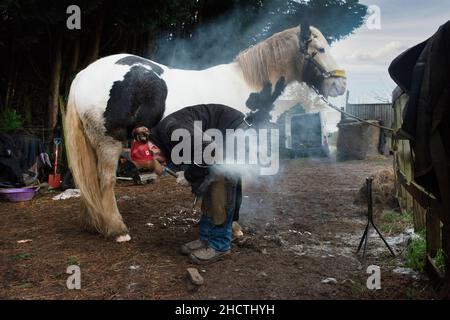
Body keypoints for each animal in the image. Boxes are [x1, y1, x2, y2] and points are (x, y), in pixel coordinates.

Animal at [65, 23, 346, 241]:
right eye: (321, 49)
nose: (340, 85)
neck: (245, 86)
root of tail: (84, 74)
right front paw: (234, 227)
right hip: (109, 142)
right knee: (105, 182)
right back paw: (117, 230)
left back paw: (96, 224)